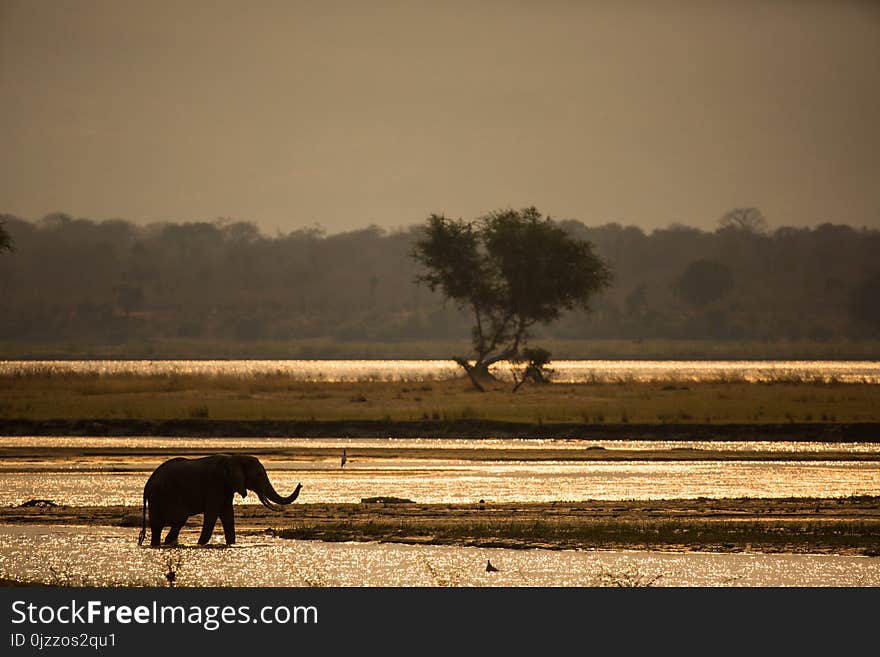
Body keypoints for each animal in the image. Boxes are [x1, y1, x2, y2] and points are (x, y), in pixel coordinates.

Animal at [138, 454, 302, 544]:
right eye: (259, 475)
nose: (300, 484)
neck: (234, 458)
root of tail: (147, 486)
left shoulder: (227, 487)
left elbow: (228, 515)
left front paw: (231, 544)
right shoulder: (215, 484)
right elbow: (212, 514)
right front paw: (201, 544)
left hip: (157, 498)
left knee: (158, 526)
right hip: (163, 496)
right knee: (178, 520)